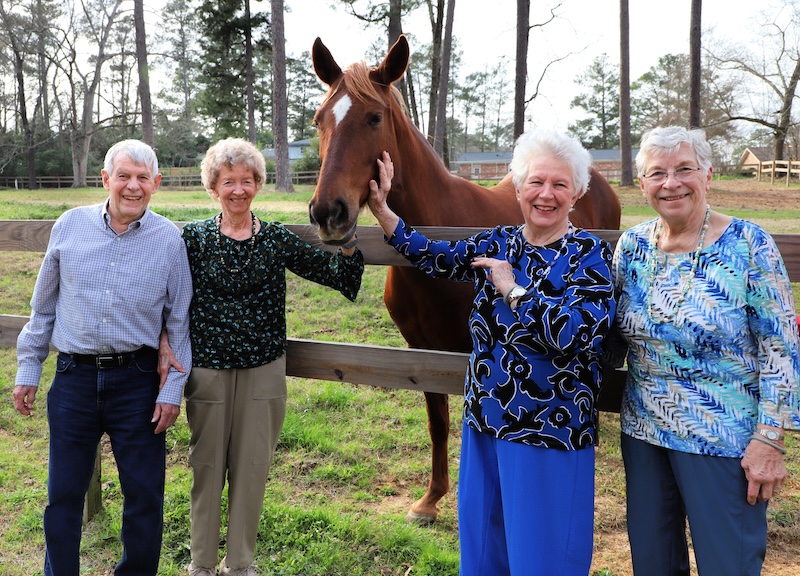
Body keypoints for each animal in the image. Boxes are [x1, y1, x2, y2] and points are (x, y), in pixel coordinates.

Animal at [309, 34, 622, 524]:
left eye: (374, 117)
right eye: (320, 119)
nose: (327, 213)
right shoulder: (420, 351)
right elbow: (438, 420)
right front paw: (430, 500)